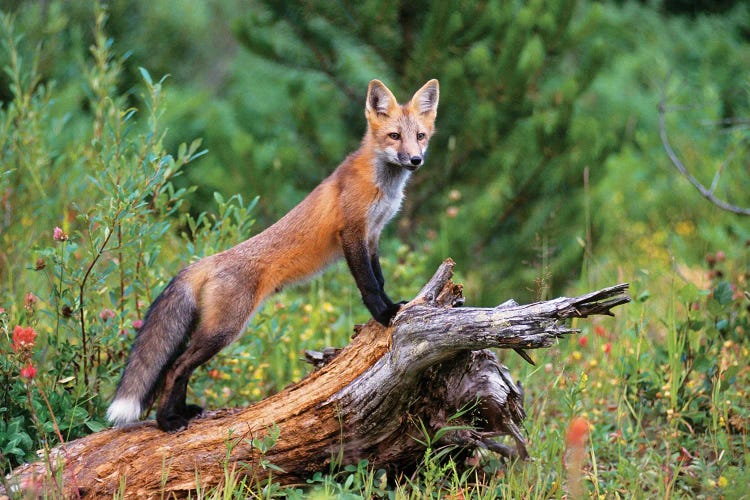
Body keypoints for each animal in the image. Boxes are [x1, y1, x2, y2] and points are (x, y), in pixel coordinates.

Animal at [108, 78, 444, 430]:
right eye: (394, 136)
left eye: (420, 136)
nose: (415, 160)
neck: (381, 185)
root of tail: (207, 261)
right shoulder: (352, 234)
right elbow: (368, 285)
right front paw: (384, 314)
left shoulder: (374, 235)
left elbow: (379, 279)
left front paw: (394, 305)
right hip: (224, 330)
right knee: (175, 367)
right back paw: (165, 422)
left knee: (179, 366)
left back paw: (180, 412)